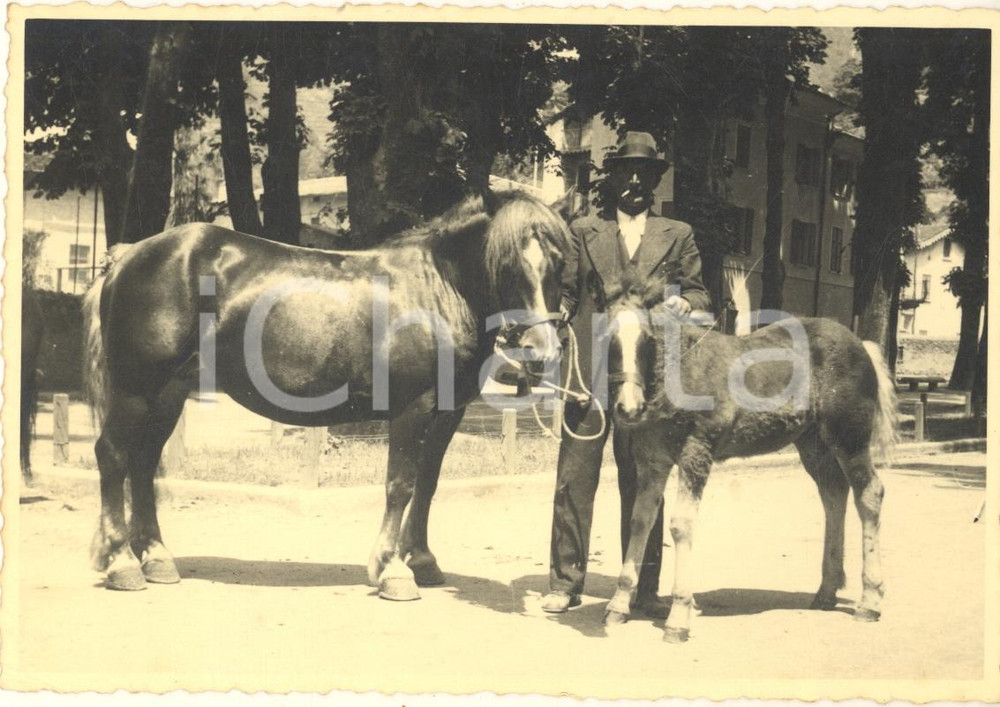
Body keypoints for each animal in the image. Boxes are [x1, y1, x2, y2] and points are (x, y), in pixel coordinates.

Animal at [82, 191, 569, 598]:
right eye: (506, 263)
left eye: (559, 264)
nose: (540, 352)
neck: (435, 291)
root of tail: (127, 256)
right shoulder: (411, 409)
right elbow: (400, 484)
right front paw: (392, 571)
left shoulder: (447, 414)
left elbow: (428, 484)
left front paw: (423, 561)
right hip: (135, 390)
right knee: (113, 456)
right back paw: (122, 563)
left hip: (168, 394)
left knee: (143, 464)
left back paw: (157, 559)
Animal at [602, 273, 898, 642]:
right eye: (608, 339)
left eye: (647, 339)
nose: (629, 408)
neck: (679, 372)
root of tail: (861, 344)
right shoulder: (652, 460)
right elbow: (641, 520)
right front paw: (618, 605)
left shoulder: (696, 452)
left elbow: (681, 525)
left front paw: (680, 615)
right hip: (813, 444)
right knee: (834, 495)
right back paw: (826, 591)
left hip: (850, 437)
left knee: (869, 494)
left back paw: (870, 601)